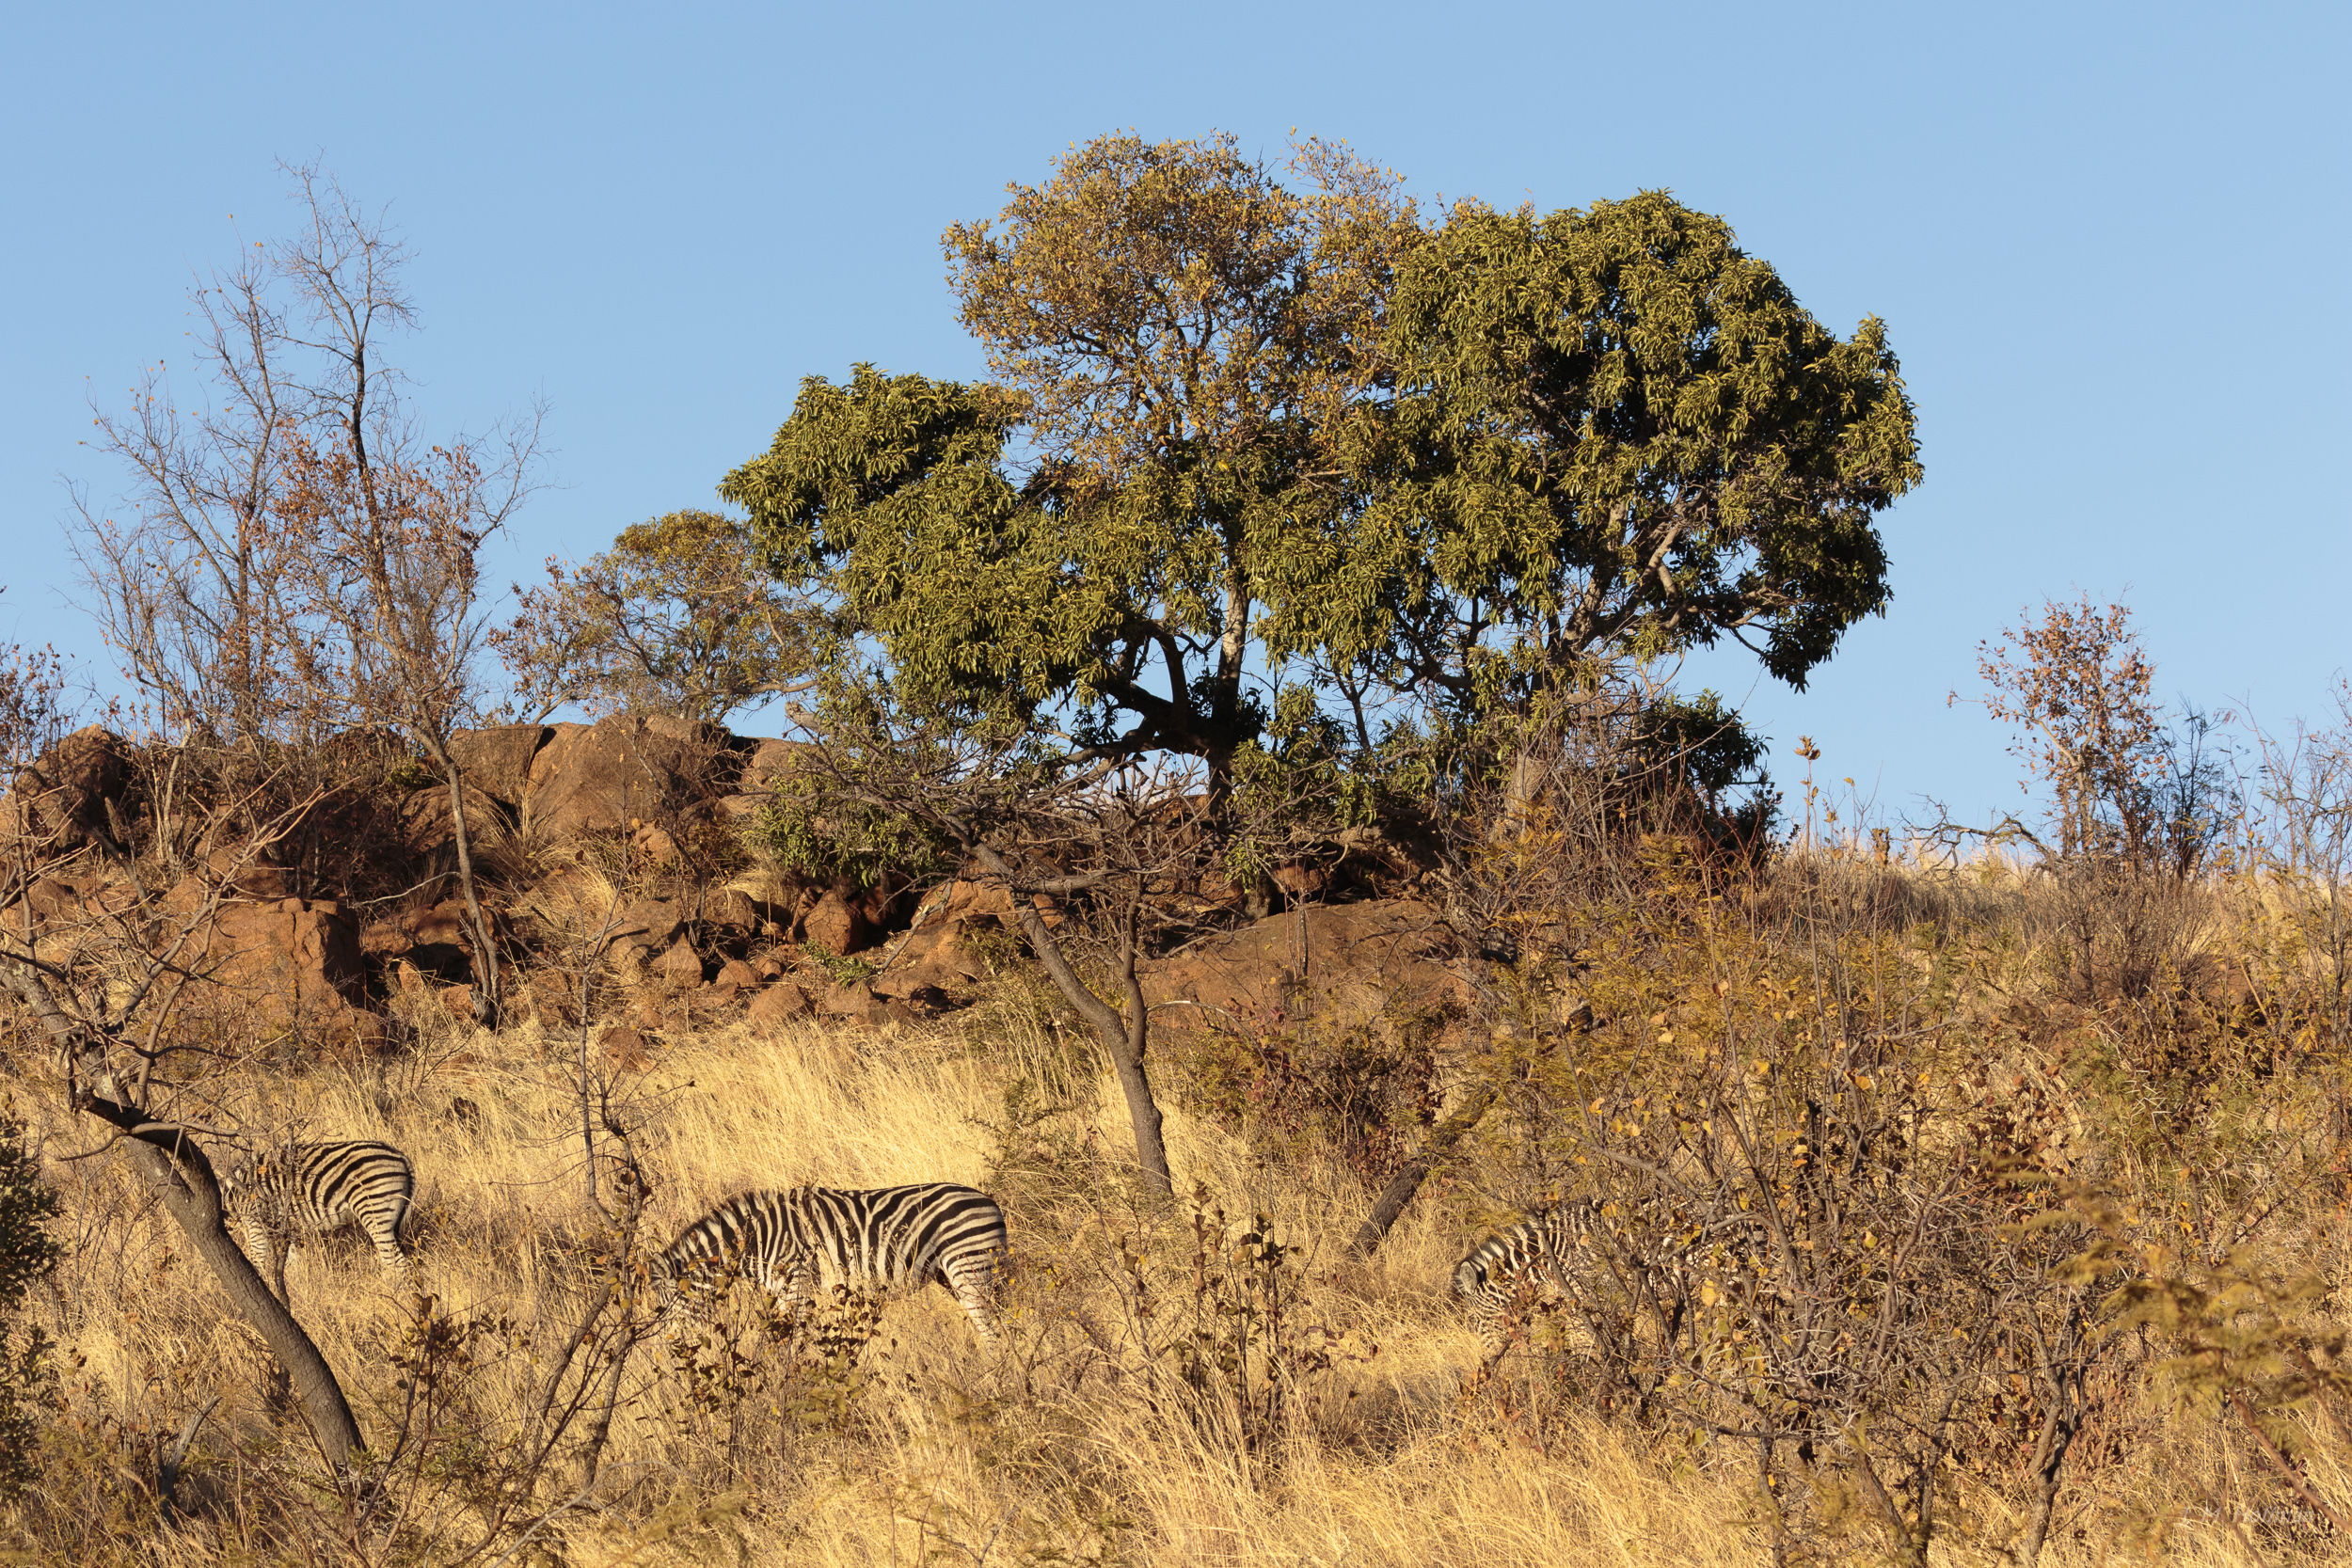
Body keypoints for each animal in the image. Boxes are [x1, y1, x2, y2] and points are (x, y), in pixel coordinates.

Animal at [220, 1139, 418, 1301]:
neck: (232, 1194)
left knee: (395, 1262)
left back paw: (392, 1296)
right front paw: (297, 1291)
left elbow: (256, 1259)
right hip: (390, 1215)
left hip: (373, 1209)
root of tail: (402, 1158)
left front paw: (263, 1288)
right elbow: (292, 1263)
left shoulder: (255, 1220)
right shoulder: (290, 1227)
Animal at [651, 1183, 1008, 1347]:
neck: (757, 1240)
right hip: (956, 1275)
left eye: (668, 1310)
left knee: (991, 1334)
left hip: (969, 1270)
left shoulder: (797, 1283)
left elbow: (792, 1344)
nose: (671, 1350)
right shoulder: (785, 1293)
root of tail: (991, 1202)